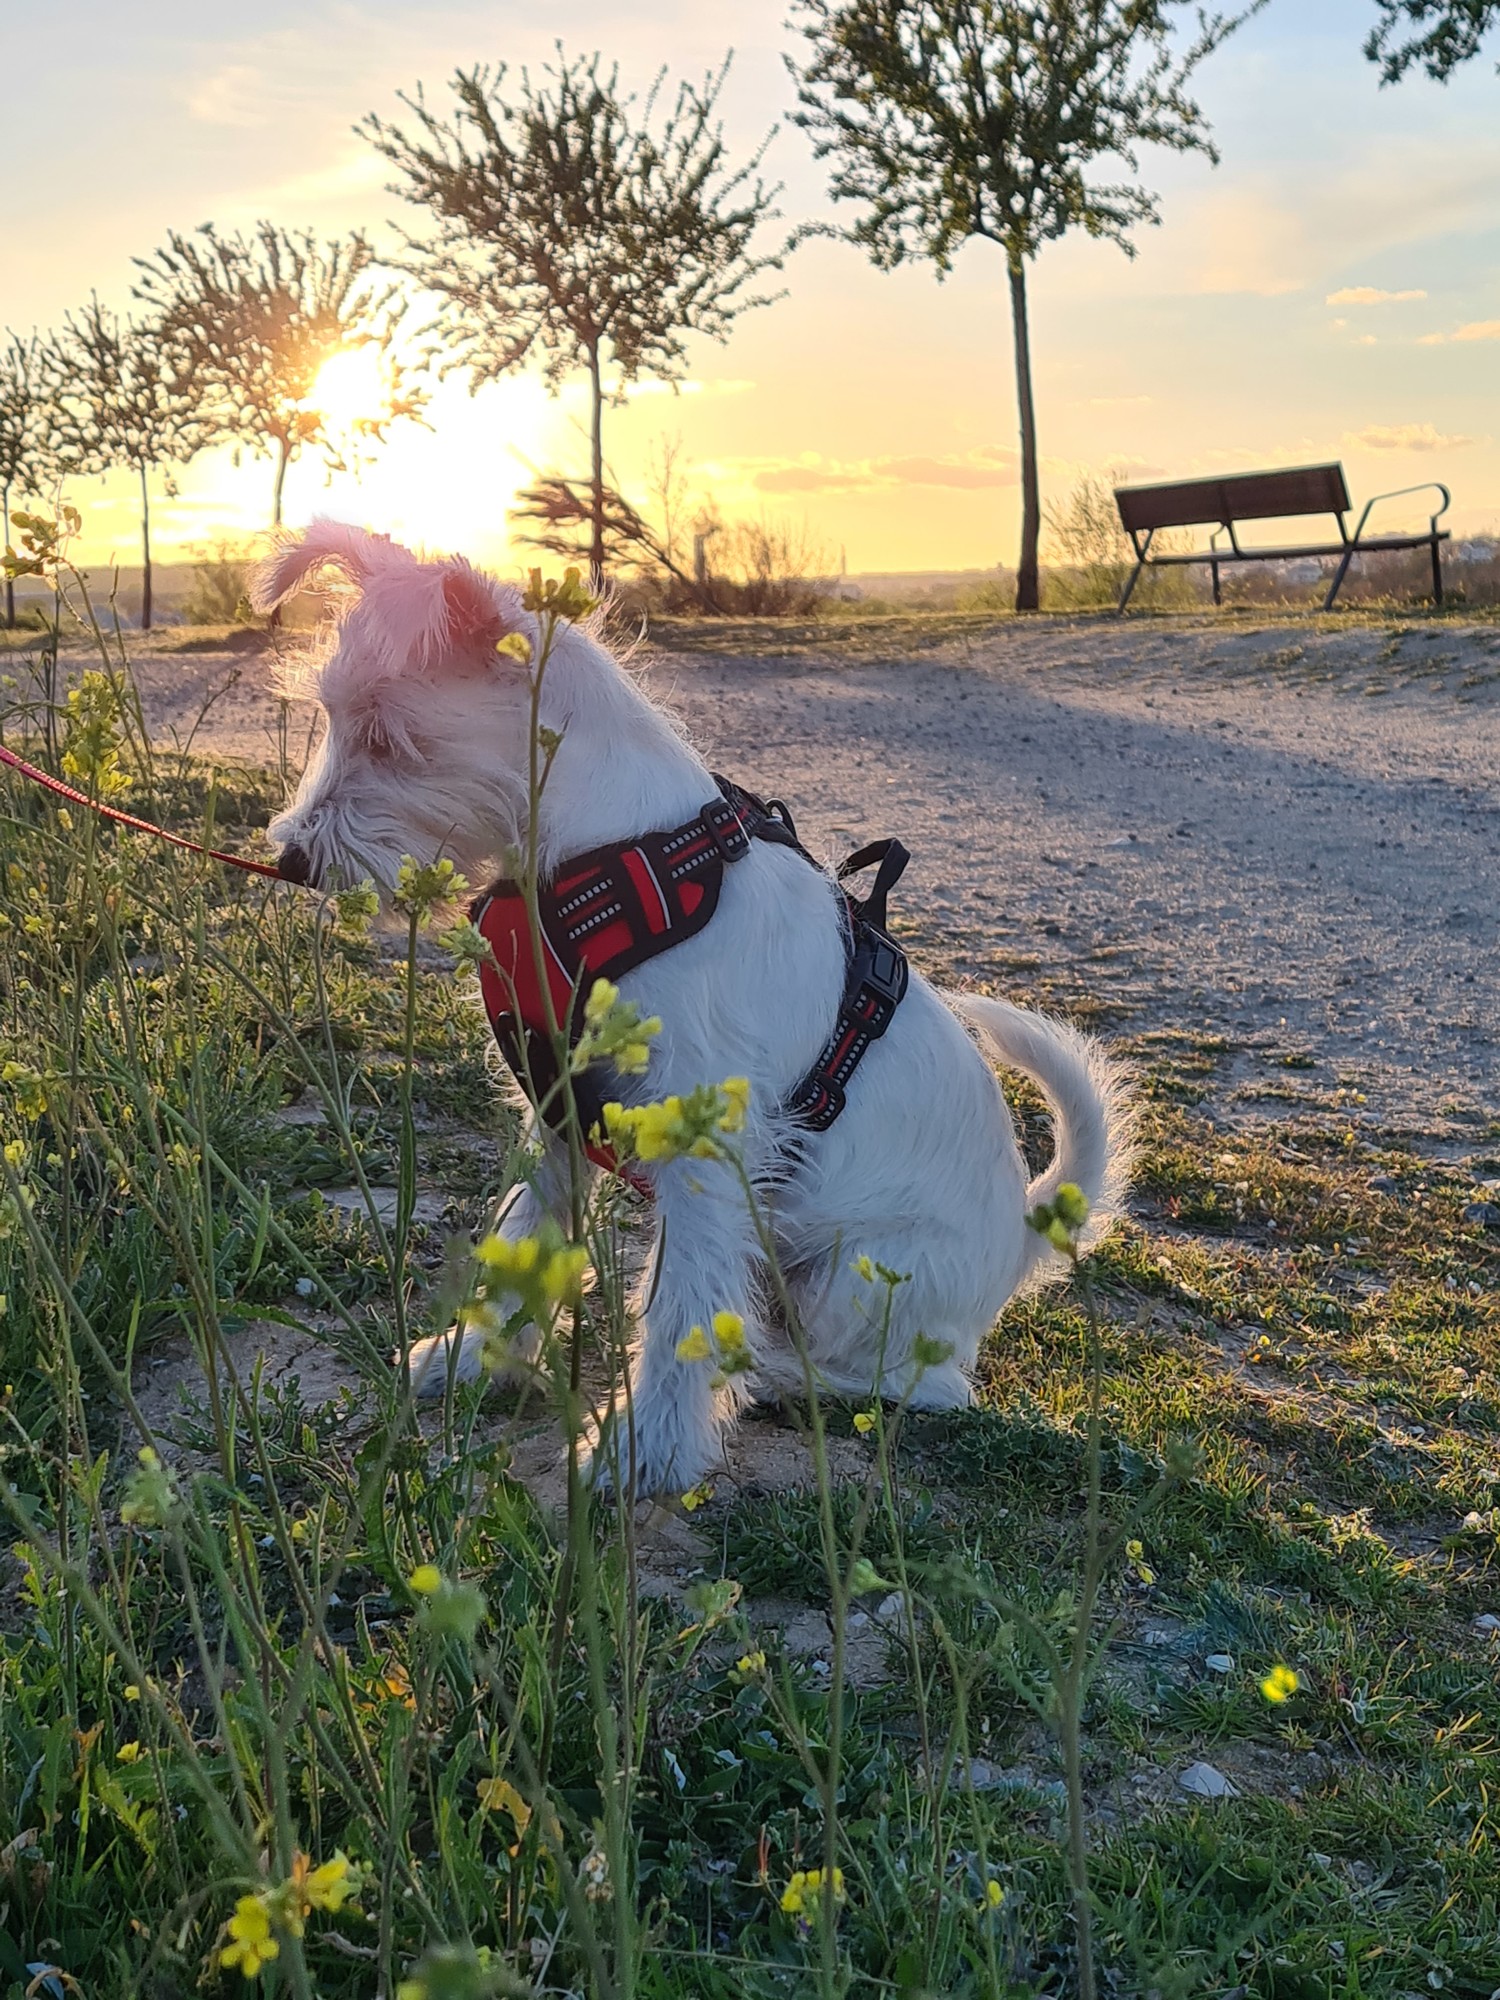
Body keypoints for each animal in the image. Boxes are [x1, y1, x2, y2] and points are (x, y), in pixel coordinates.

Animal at [258, 524, 1136, 1496]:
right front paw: (476, 1355)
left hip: (855, 1277)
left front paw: (645, 1448)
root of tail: (1021, 1236)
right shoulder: (562, 1117)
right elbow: (524, 1237)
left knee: (918, 1381)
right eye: (336, 718)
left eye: (388, 735)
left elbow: (679, 1306)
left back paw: (770, 1372)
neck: (596, 859)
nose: (293, 858)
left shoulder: (703, 1152)